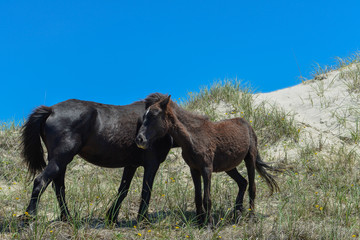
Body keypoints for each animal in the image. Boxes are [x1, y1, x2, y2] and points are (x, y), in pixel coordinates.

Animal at [21, 93, 173, 223]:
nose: (140, 139)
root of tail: (51, 110)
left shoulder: (131, 164)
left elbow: (123, 190)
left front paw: (112, 217)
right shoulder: (152, 164)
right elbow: (146, 191)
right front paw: (143, 219)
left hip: (59, 161)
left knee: (58, 187)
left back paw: (67, 217)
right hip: (61, 158)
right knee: (41, 182)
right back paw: (30, 216)